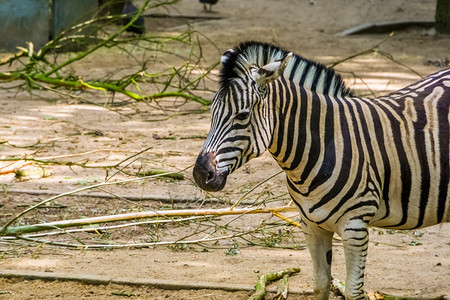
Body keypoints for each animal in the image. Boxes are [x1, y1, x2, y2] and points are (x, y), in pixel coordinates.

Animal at [194, 41, 450, 298]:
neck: (323, 145)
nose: (200, 174)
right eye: (211, 111)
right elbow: (320, 283)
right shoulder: (311, 225)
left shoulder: (355, 226)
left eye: (243, 115)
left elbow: (353, 291)